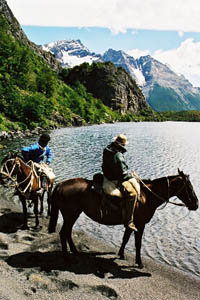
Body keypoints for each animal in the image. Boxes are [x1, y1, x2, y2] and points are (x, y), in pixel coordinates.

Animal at [48, 169, 198, 268]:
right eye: (189, 187)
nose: (196, 204)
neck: (147, 197)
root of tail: (60, 185)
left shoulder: (131, 223)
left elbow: (125, 239)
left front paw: (121, 254)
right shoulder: (140, 224)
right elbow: (138, 243)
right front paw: (139, 262)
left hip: (73, 215)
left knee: (67, 233)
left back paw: (74, 252)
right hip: (70, 215)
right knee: (63, 233)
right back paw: (67, 257)